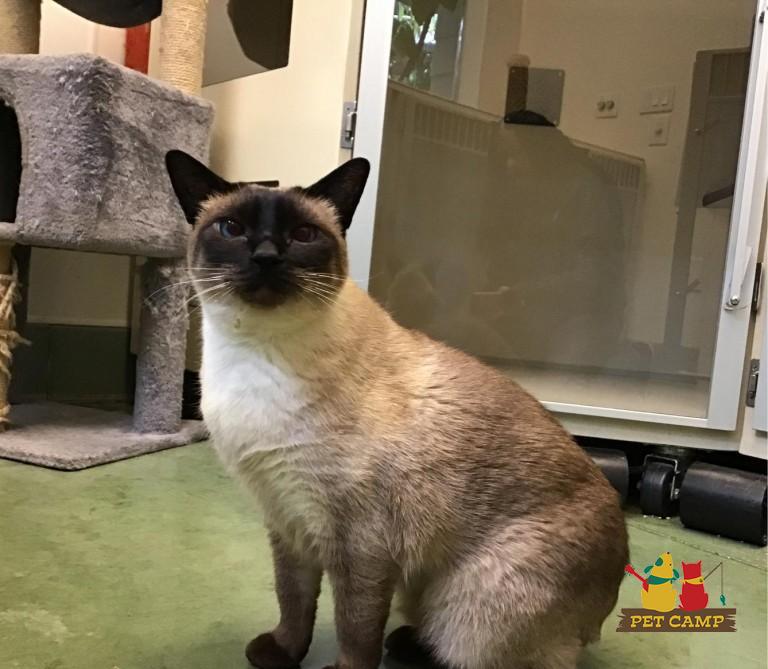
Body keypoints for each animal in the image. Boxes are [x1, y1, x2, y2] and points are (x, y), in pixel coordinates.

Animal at [166, 150, 629, 669]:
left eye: (303, 235)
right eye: (231, 229)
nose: (266, 257)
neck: (255, 352)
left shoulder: (359, 545)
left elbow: (353, 629)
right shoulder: (287, 518)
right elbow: (293, 598)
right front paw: (281, 654)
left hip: (474, 612)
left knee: (483, 654)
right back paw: (407, 642)